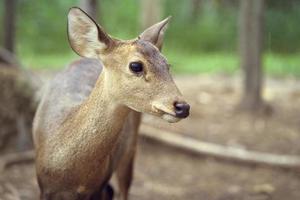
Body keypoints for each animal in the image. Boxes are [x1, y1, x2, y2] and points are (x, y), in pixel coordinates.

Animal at [32, 7, 190, 200]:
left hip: (130, 148)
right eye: (136, 65)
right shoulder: (44, 187)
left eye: (168, 65)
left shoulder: (98, 186)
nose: (182, 107)